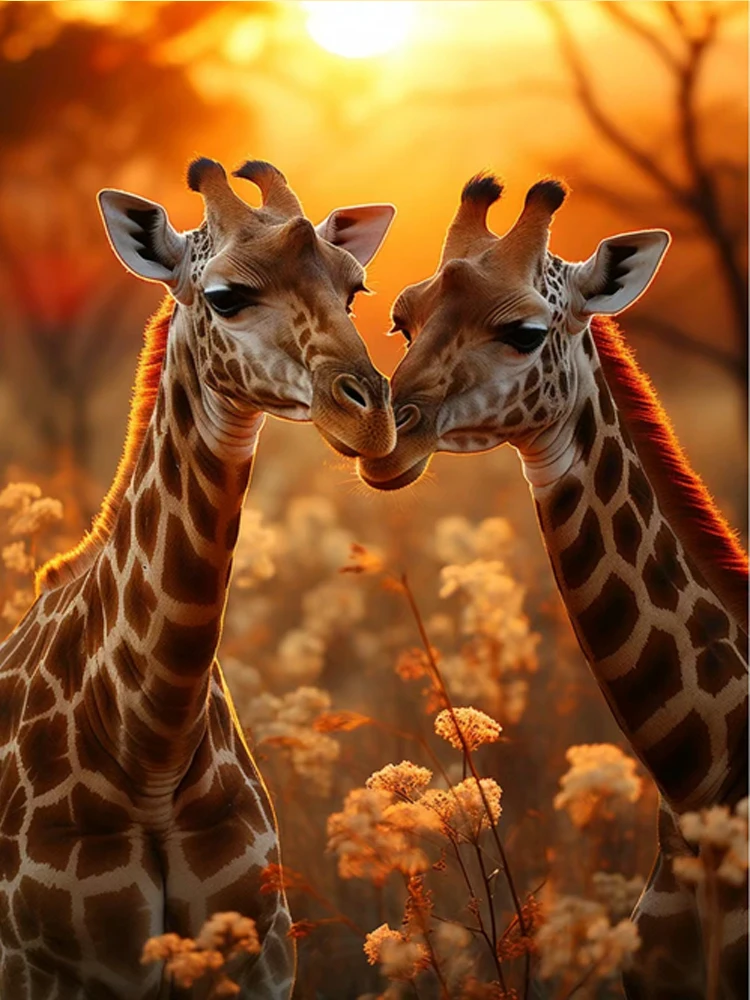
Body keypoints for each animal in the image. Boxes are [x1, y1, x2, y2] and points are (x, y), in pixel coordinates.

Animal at [0, 156, 397, 999]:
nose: (375, 418)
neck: (149, 745)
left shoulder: (262, 955)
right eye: (225, 296)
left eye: (355, 289)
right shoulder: (43, 969)